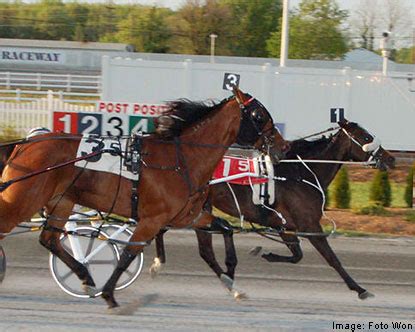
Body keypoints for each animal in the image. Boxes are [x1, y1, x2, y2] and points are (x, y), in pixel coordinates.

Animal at [0, 87, 286, 308]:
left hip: (62, 201)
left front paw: (232, 280)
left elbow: (224, 230)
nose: (283, 146)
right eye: (259, 115)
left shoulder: (188, 216)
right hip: (23, 200)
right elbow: (128, 253)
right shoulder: (152, 220)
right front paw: (110, 295)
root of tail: (24, 146)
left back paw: (86, 276)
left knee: (49, 239)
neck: (181, 160)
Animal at [153, 118, 396, 298]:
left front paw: (265, 253)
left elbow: (297, 255)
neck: (301, 173)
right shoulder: (309, 224)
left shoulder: (285, 225)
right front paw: (360, 288)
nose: (391, 159)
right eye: (366, 137)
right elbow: (331, 258)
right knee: (196, 244)